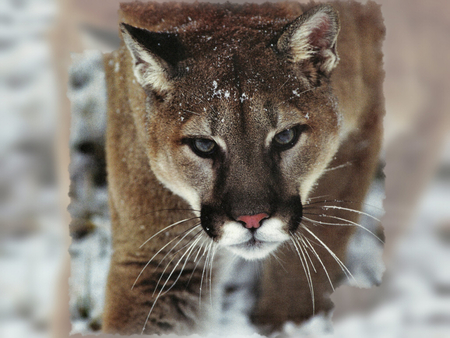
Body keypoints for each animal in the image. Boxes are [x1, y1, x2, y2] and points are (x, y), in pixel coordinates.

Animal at [101, 1, 384, 336]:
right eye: (204, 145)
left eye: (285, 137)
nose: (252, 220)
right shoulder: (157, 257)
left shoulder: (359, 134)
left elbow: (305, 263)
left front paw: (284, 324)